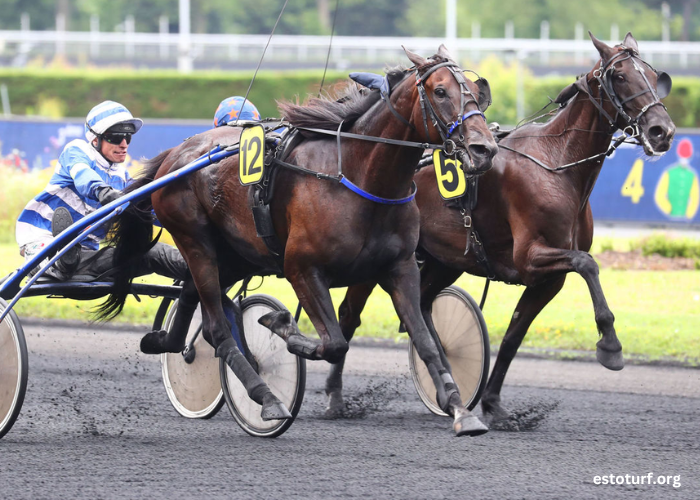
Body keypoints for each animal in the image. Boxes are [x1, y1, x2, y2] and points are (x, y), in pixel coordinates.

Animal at [101, 47, 500, 438]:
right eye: (440, 91)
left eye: (476, 91)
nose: (484, 149)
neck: (358, 177)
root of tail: (174, 155)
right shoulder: (301, 267)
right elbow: (334, 342)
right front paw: (281, 325)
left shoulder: (399, 267)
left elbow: (426, 341)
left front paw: (460, 409)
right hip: (194, 238)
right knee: (216, 327)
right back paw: (266, 398)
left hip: (237, 253)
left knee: (191, 293)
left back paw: (165, 342)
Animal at [328, 33, 680, 428]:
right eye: (619, 76)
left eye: (654, 75)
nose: (662, 131)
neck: (556, 164)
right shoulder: (530, 257)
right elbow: (587, 264)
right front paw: (610, 346)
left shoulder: (548, 279)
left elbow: (514, 335)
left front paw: (493, 404)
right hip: (379, 259)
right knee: (350, 313)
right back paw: (335, 397)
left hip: (444, 260)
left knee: (422, 304)